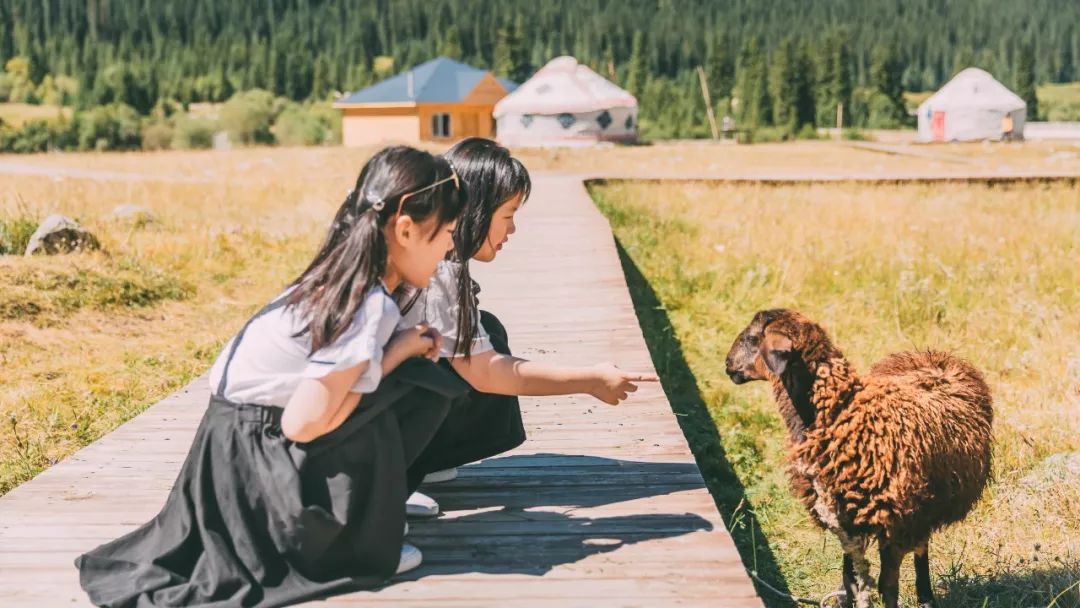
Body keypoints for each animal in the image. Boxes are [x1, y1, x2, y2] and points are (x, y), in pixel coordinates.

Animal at [721, 311, 989, 604]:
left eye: (751, 338)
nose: (728, 364)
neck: (842, 413)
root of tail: (930, 355)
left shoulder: (892, 521)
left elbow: (887, 586)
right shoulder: (844, 519)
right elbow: (850, 580)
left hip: (921, 509)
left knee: (921, 547)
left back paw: (926, 597)